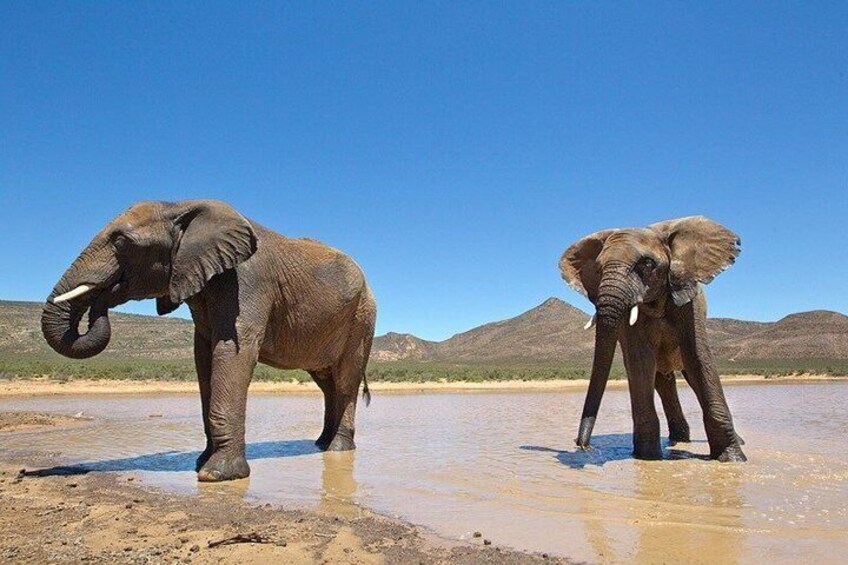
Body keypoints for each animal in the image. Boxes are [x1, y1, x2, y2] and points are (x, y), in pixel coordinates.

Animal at [42, 200, 377, 481]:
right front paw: (201, 464)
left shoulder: (247, 282)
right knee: (327, 382)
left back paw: (337, 449)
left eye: (121, 242)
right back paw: (321, 443)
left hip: (361, 318)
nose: (104, 295)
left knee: (344, 381)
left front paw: (217, 475)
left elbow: (231, 352)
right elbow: (203, 358)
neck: (180, 206)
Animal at [559, 216, 746, 462]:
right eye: (598, 269)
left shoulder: (689, 302)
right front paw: (647, 457)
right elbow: (640, 361)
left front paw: (732, 459)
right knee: (662, 382)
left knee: (691, 377)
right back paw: (678, 439)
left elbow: (698, 358)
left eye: (647, 264)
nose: (583, 445)